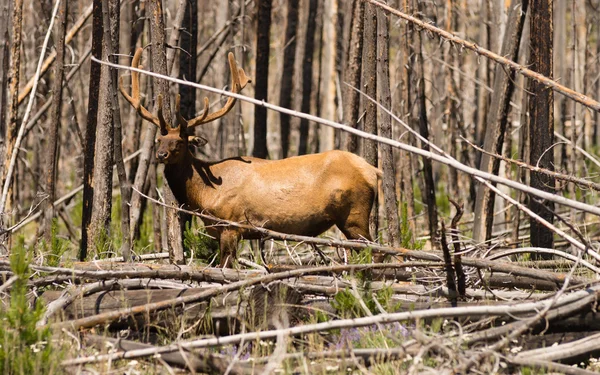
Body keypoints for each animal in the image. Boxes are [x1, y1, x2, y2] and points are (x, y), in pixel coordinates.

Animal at [120, 48, 382, 268]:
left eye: (180, 143)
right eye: (159, 140)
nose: (161, 154)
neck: (204, 195)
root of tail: (374, 171)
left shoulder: (231, 225)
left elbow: (226, 265)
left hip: (354, 214)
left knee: (377, 250)